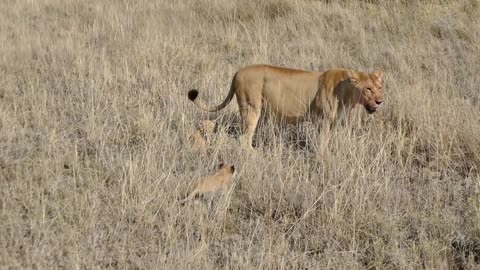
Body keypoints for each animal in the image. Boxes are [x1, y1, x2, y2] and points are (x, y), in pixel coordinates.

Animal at [187, 65, 382, 150]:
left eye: (380, 87)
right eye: (368, 89)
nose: (380, 101)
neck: (347, 93)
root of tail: (237, 72)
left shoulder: (332, 122)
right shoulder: (322, 120)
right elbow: (322, 143)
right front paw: (323, 159)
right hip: (251, 107)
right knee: (244, 139)